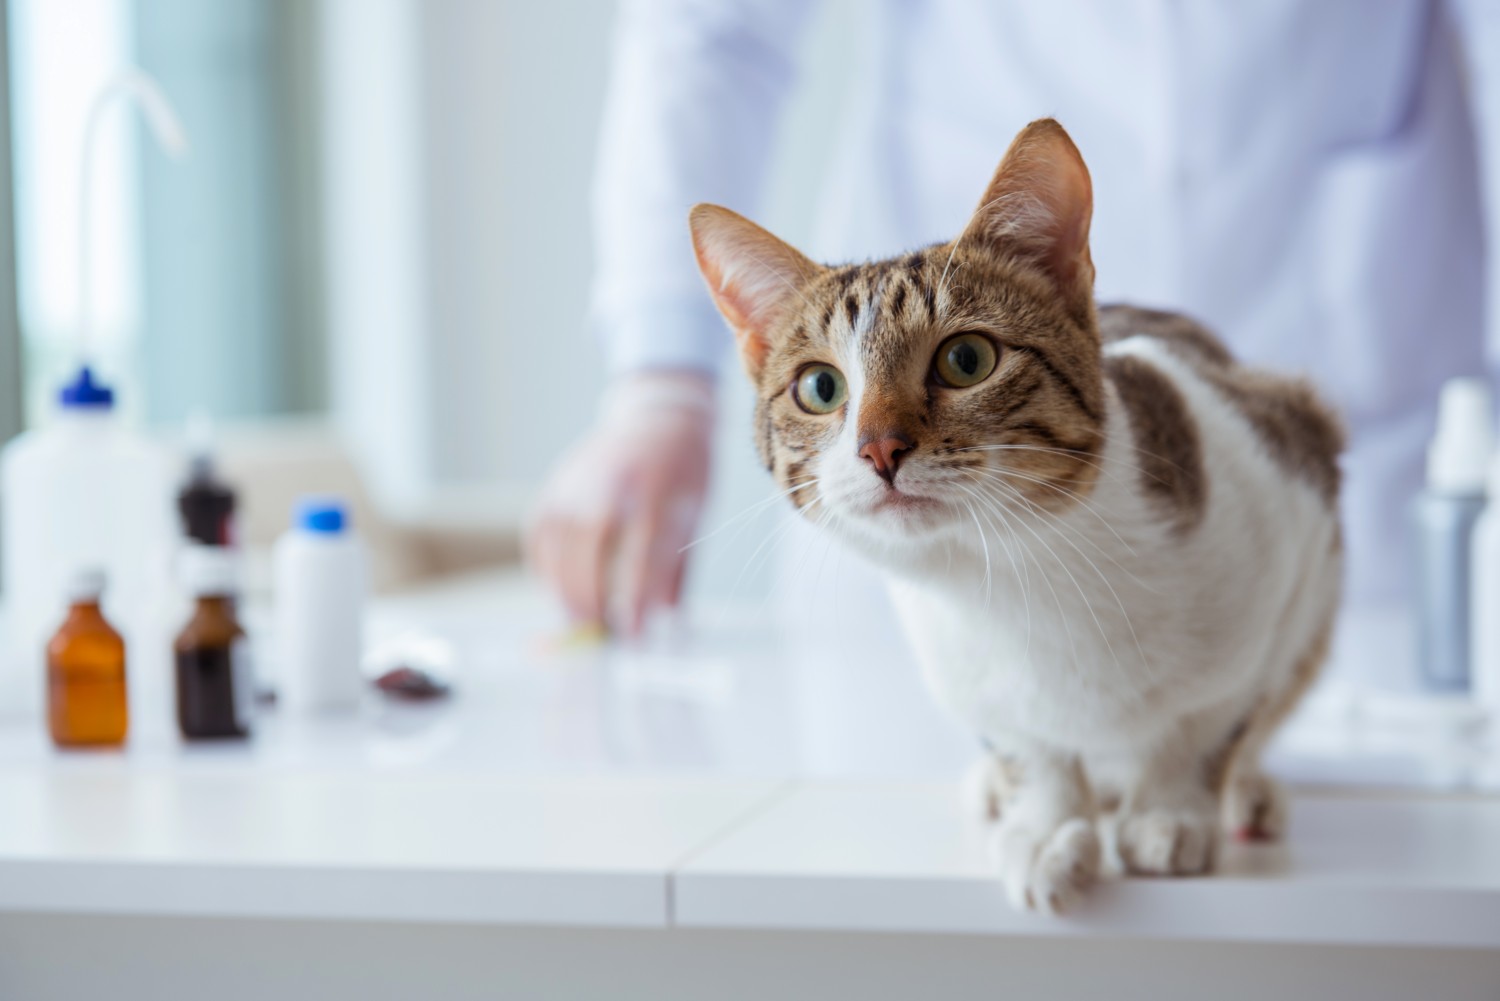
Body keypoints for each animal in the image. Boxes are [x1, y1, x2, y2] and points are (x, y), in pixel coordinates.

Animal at [690, 119, 1350, 918]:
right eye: (820, 387)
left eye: (967, 358)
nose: (879, 447)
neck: (1016, 574)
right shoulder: (965, 673)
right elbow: (1028, 743)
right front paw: (1047, 822)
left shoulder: (1291, 513)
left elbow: (1212, 719)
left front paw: (1169, 808)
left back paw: (1245, 792)